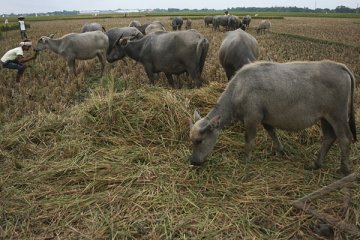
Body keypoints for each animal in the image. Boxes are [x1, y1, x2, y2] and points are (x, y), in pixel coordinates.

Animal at [190, 61, 356, 175]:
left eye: (199, 141)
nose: (194, 162)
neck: (239, 90)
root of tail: (340, 67)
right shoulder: (266, 119)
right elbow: (272, 133)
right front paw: (280, 150)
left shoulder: (252, 118)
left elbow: (249, 140)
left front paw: (246, 160)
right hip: (325, 117)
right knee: (329, 137)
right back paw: (316, 164)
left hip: (338, 115)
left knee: (344, 138)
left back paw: (344, 169)